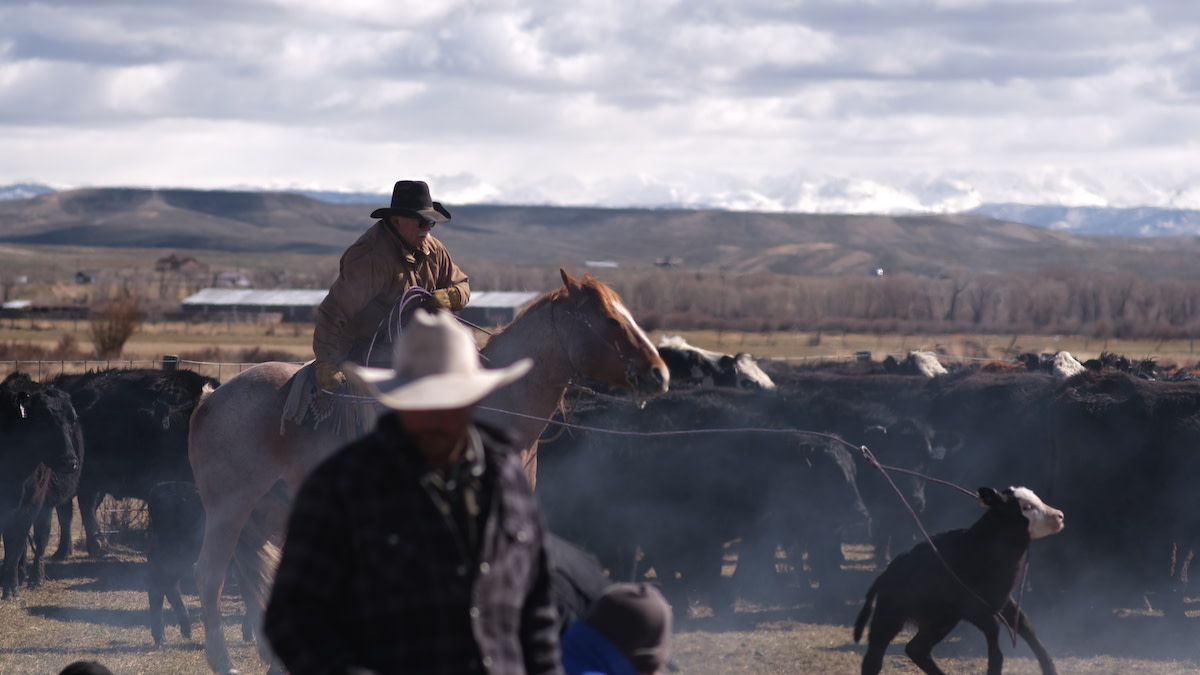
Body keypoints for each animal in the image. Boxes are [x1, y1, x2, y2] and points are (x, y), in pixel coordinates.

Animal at [0, 369, 82, 595]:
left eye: (71, 420)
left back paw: (36, 577)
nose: (70, 462)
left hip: (46, 505)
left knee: (41, 538)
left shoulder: (32, 502)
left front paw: (10, 587)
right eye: (43, 421)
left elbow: (17, 542)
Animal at [187, 267, 667, 672]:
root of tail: (211, 398)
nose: (658, 374)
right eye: (609, 320)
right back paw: (224, 663)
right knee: (210, 577)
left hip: (269, 510)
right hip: (229, 507)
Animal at [854, 482, 1070, 672]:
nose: (1059, 516)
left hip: (940, 621)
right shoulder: (975, 607)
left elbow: (1026, 626)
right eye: (1026, 507)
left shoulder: (1001, 601)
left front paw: (1049, 667)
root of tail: (886, 573)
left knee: (916, 649)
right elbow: (996, 644)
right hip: (890, 617)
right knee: (874, 659)